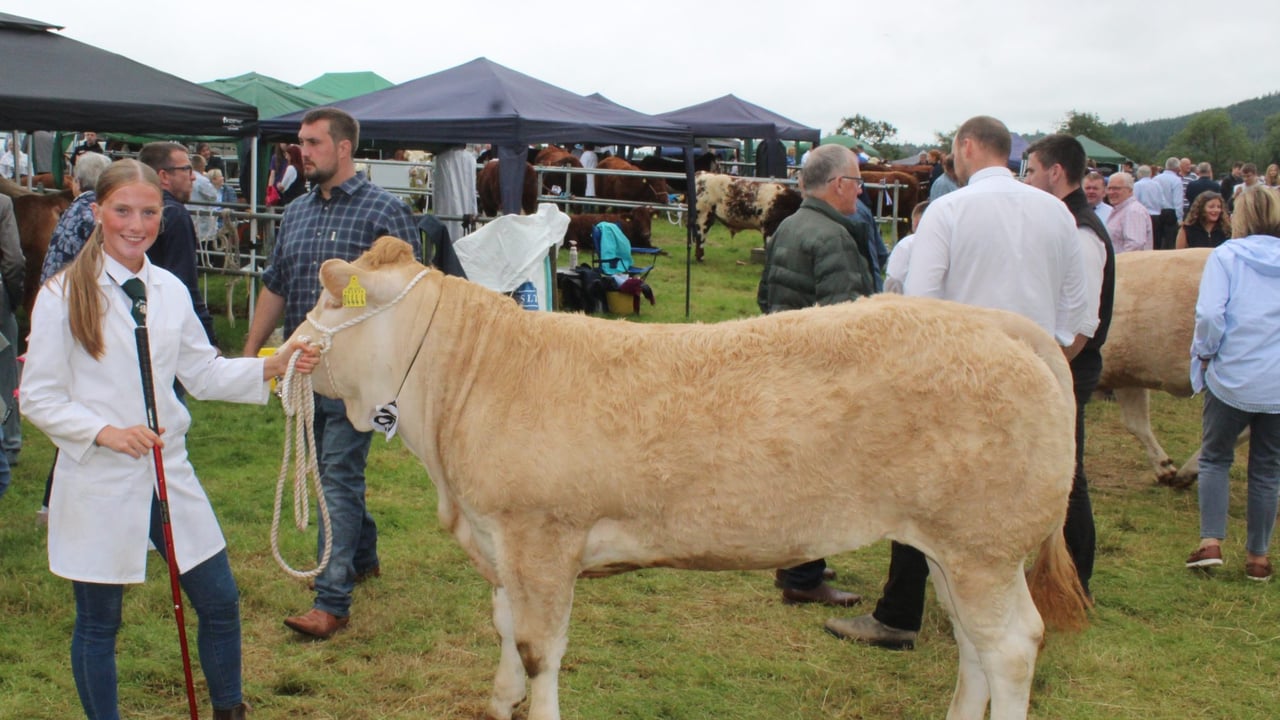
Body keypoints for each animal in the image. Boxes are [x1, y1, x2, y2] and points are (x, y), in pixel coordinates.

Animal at [289, 236, 1088, 720]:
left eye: (328, 297)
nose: (283, 351)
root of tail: (998, 323)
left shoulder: (541, 538)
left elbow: (539, 648)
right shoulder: (500, 543)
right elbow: (506, 631)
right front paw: (498, 700)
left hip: (983, 547)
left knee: (1012, 647)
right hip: (953, 549)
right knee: (973, 646)